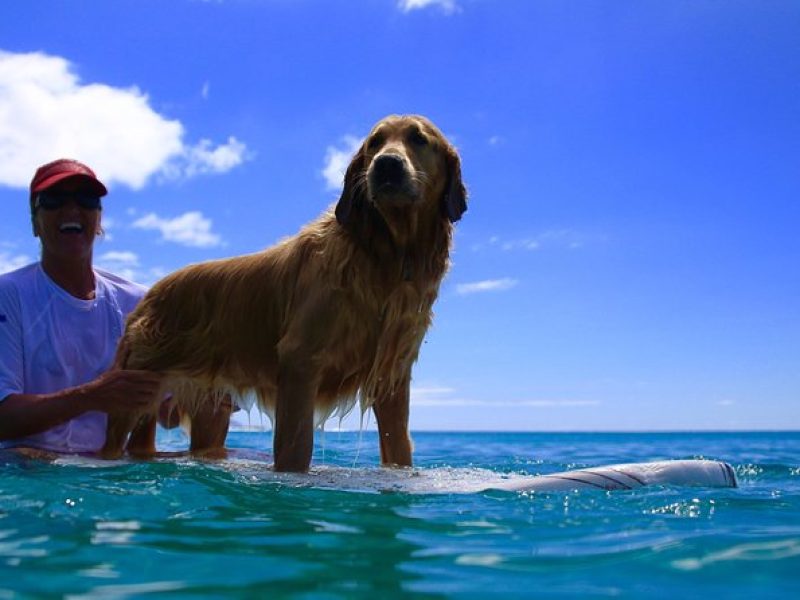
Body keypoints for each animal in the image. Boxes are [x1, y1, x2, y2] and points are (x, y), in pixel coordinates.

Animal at [105, 115, 468, 472]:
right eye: (374, 143)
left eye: (418, 139)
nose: (387, 165)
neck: (385, 255)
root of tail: (149, 294)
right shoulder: (299, 360)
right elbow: (296, 448)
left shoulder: (391, 374)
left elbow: (398, 448)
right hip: (132, 385)